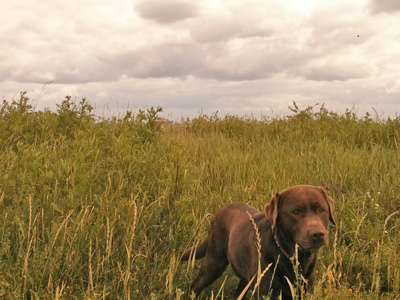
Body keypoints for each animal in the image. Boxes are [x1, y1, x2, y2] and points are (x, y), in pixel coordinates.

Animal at [181, 184, 334, 298]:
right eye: (296, 212)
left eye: (321, 210)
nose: (318, 234)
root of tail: (220, 211)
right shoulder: (267, 292)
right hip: (213, 263)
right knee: (195, 285)